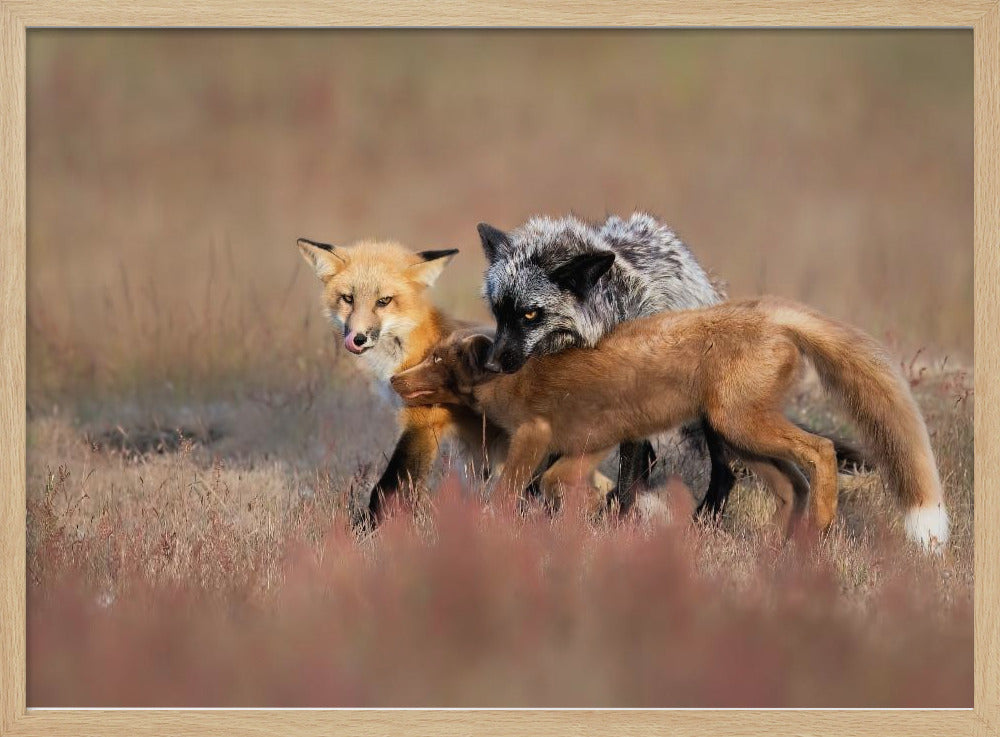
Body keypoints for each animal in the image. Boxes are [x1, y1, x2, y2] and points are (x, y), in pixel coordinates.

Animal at [390, 296, 949, 552]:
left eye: (437, 361)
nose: (395, 379)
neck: (510, 378)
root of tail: (769, 312)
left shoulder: (538, 435)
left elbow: (511, 489)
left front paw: (497, 529)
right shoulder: (590, 442)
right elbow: (559, 484)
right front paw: (589, 517)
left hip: (742, 426)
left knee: (821, 452)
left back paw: (821, 526)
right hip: (738, 437)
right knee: (792, 484)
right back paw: (778, 547)